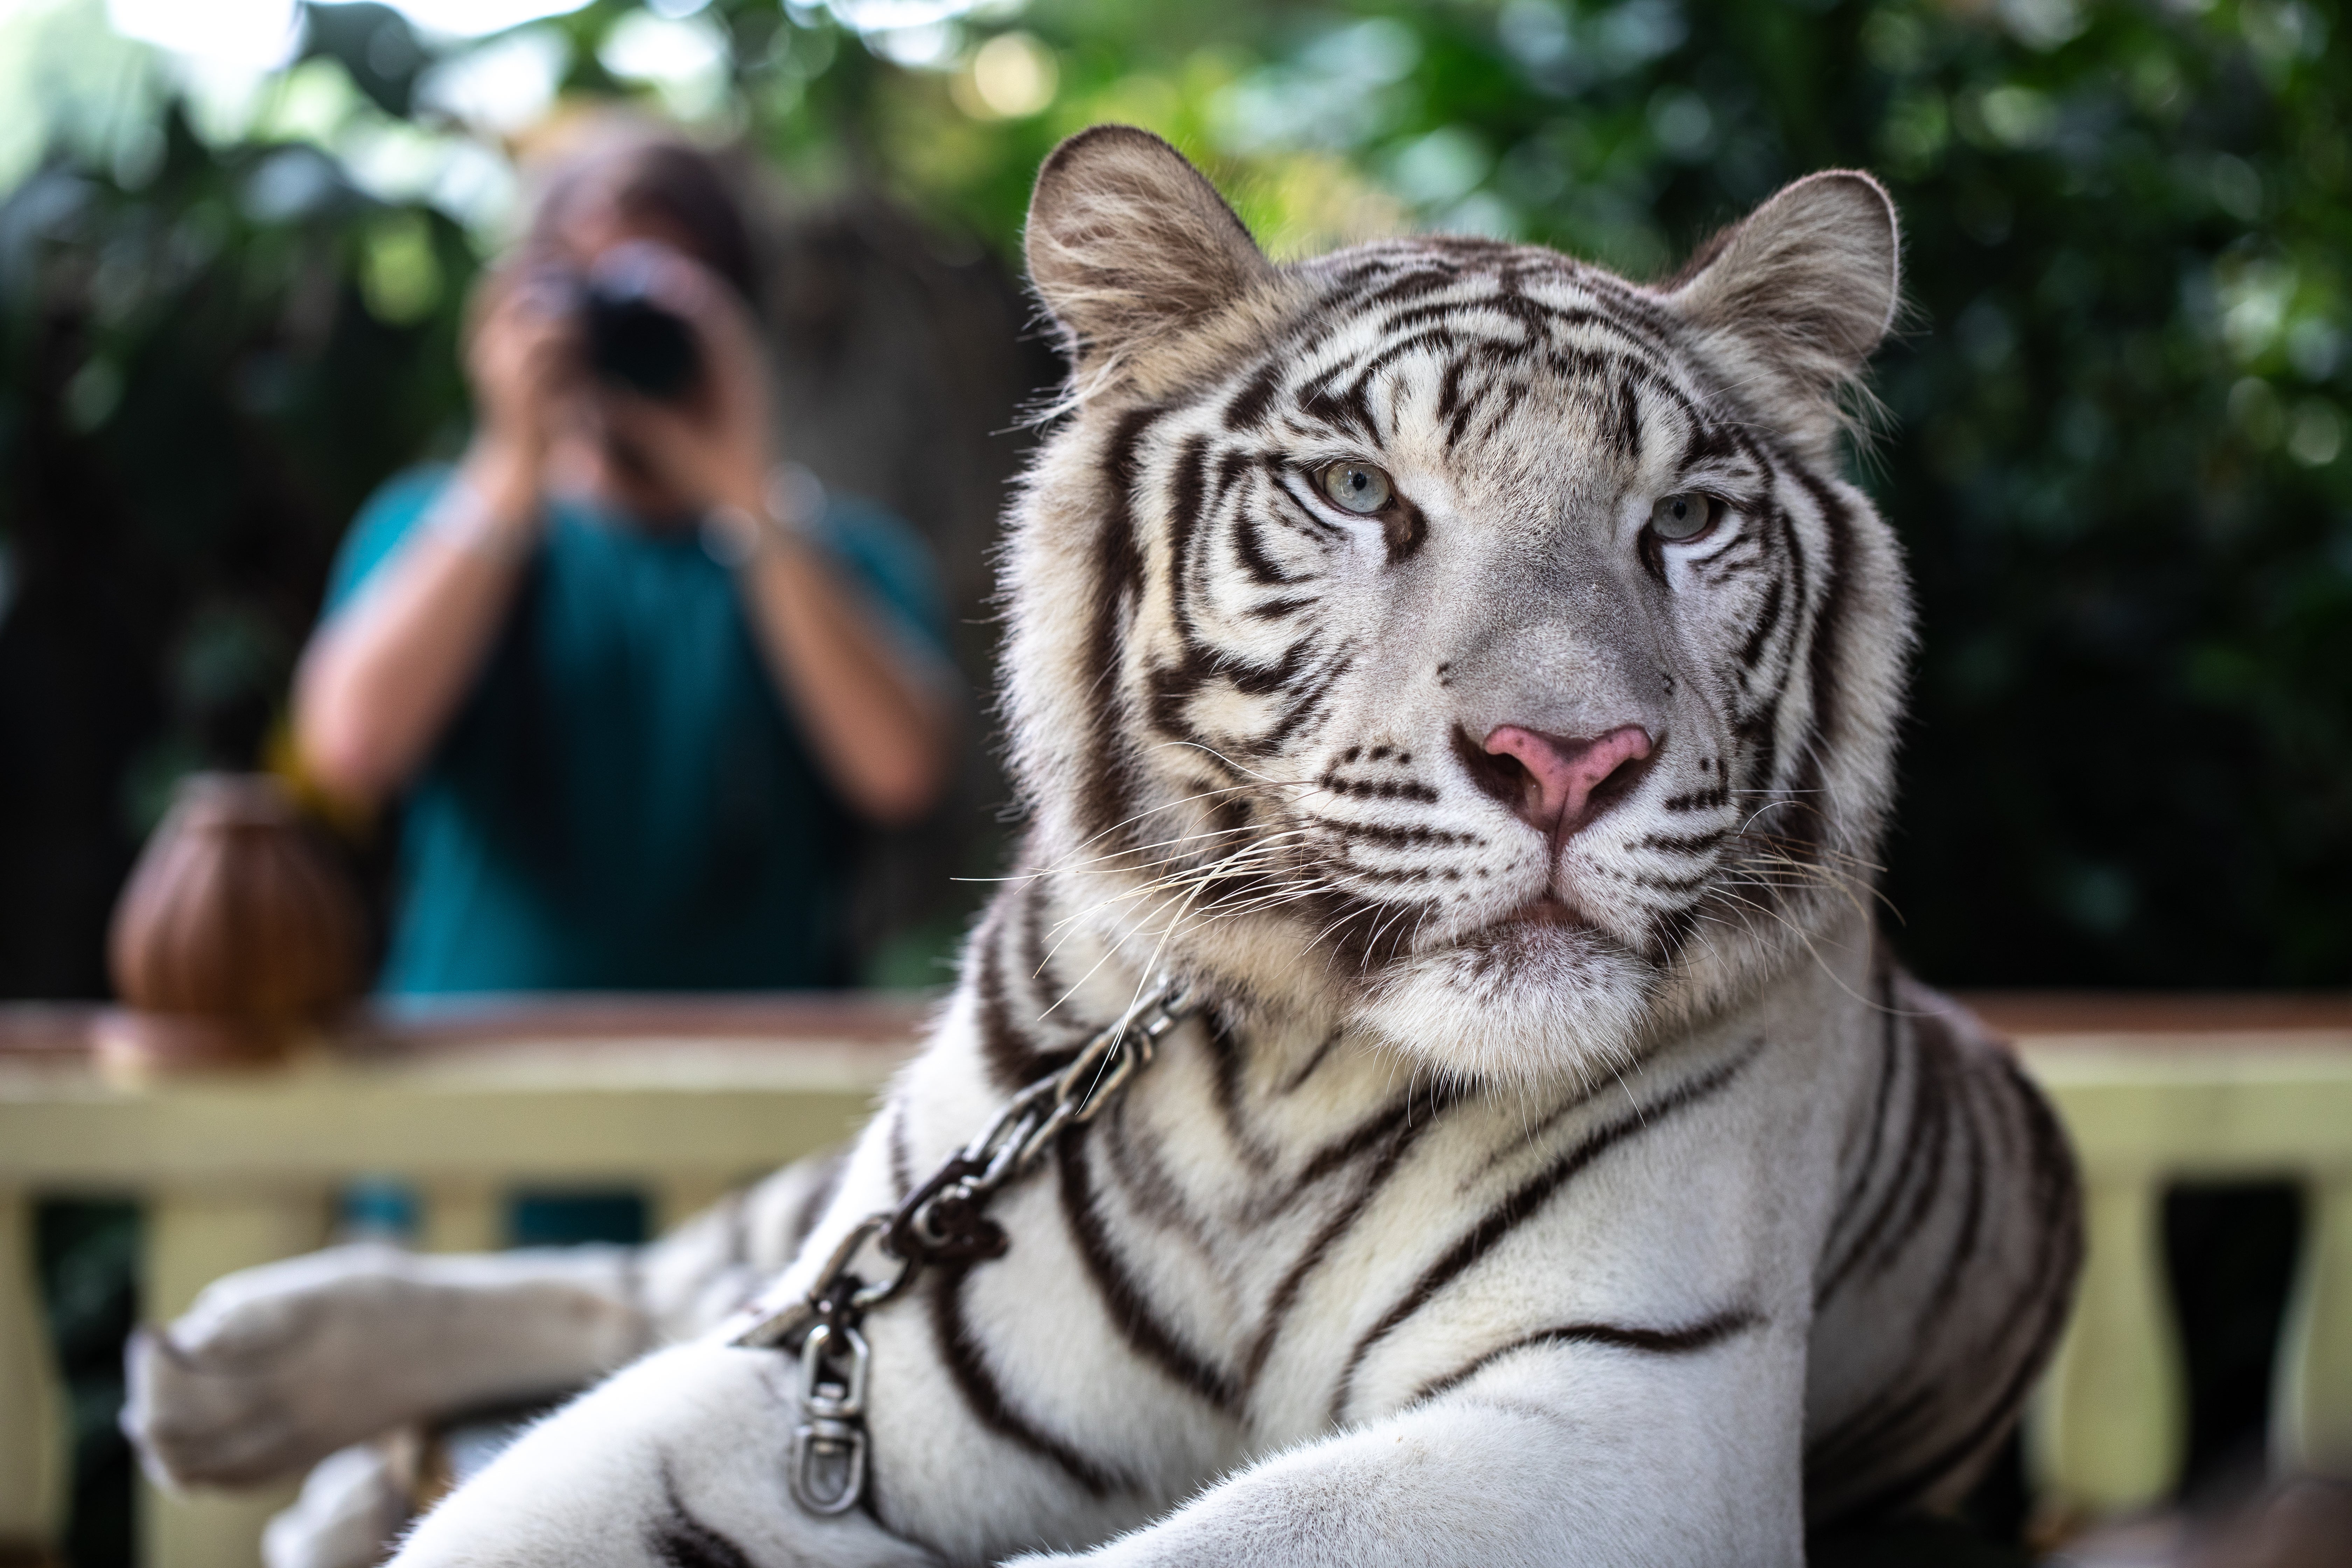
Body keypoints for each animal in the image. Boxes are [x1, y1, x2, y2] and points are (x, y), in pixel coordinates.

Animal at [124, 132, 2079, 1568]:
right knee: (664, 1277)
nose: (1568, 757)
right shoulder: (866, 1369)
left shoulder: (1612, 1420)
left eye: (1682, 518)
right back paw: (238, 1376)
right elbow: (565, 1469)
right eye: (1357, 491)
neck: (1292, 1053)